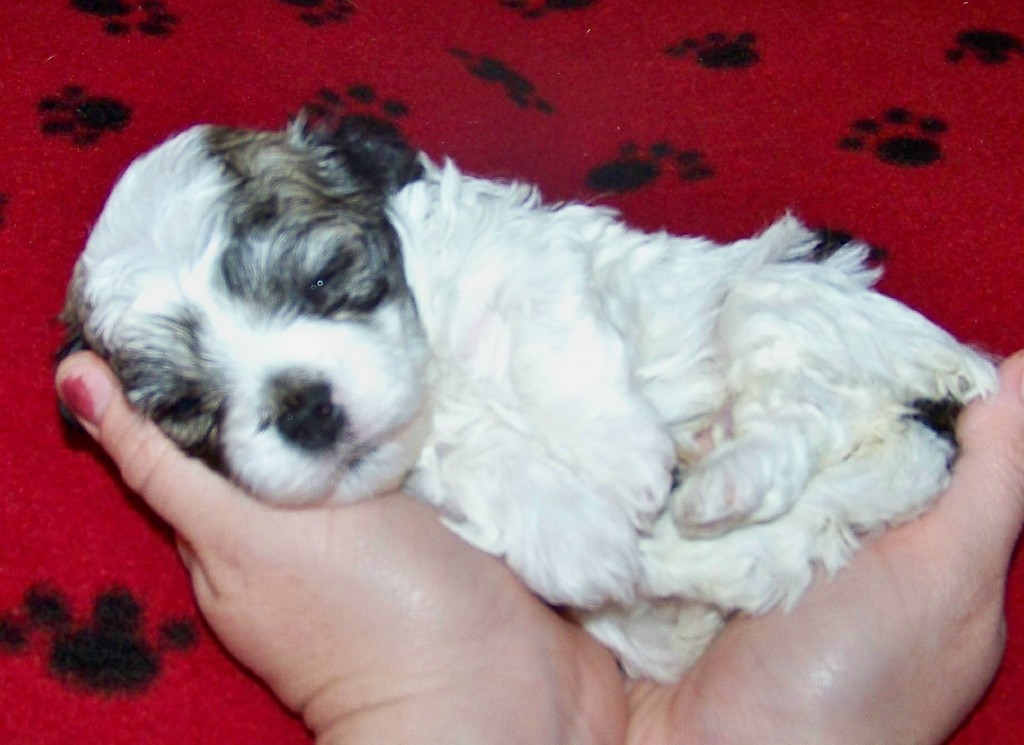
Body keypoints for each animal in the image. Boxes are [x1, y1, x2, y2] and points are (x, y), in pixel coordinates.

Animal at [59, 117, 995, 679]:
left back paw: (717, 479)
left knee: (799, 410)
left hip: (793, 298)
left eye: (323, 278)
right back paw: (696, 525)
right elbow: (487, 465)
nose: (305, 407)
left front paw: (623, 464)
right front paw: (583, 536)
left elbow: (556, 350)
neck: (438, 359)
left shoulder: (523, 265)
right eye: (186, 402)